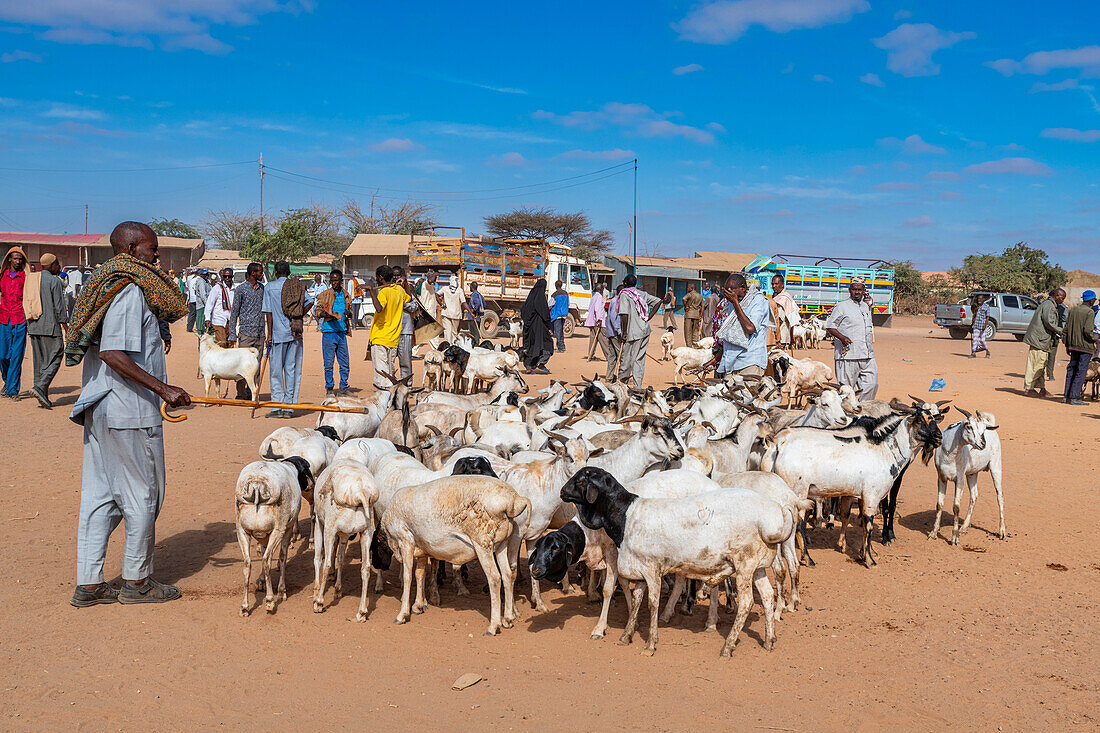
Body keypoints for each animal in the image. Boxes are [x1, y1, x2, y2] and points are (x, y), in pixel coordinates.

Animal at [233, 460, 310, 611]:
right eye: (305, 472)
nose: (310, 486)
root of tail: (257, 483)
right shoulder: (287, 529)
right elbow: (282, 556)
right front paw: (282, 591)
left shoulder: (263, 535)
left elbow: (262, 551)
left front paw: (262, 582)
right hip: (277, 530)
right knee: (266, 560)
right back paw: (269, 600)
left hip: (241, 531)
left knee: (247, 563)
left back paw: (245, 606)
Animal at [312, 457, 380, 616]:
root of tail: (361, 492)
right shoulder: (344, 535)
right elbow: (341, 558)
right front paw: (337, 590)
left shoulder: (320, 523)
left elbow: (319, 557)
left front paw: (316, 592)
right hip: (367, 532)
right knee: (366, 567)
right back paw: (362, 612)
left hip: (329, 529)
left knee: (327, 563)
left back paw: (319, 603)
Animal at [380, 473, 530, 633]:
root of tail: (513, 501)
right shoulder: (422, 548)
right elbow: (419, 574)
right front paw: (418, 606)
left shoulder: (405, 540)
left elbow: (408, 577)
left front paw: (402, 614)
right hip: (501, 544)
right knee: (508, 575)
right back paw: (507, 619)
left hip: (482, 543)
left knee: (495, 578)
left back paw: (493, 626)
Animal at [558, 464, 792, 651]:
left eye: (580, 480)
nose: (561, 491)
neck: (626, 515)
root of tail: (772, 521)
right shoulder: (640, 567)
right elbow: (637, 599)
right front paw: (626, 635)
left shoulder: (652, 568)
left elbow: (652, 603)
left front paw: (650, 643)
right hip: (757, 566)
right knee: (768, 596)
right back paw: (769, 640)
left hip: (744, 565)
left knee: (746, 603)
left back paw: (728, 644)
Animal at [928, 407, 1007, 545]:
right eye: (969, 426)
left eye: (983, 429)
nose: (983, 443)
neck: (949, 454)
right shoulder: (941, 477)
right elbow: (939, 505)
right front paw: (933, 533)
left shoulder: (959, 479)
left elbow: (956, 507)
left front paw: (954, 538)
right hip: (972, 474)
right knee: (974, 495)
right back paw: (964, 527)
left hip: (996, 467)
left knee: (1000, 496)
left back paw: (1002, 531)